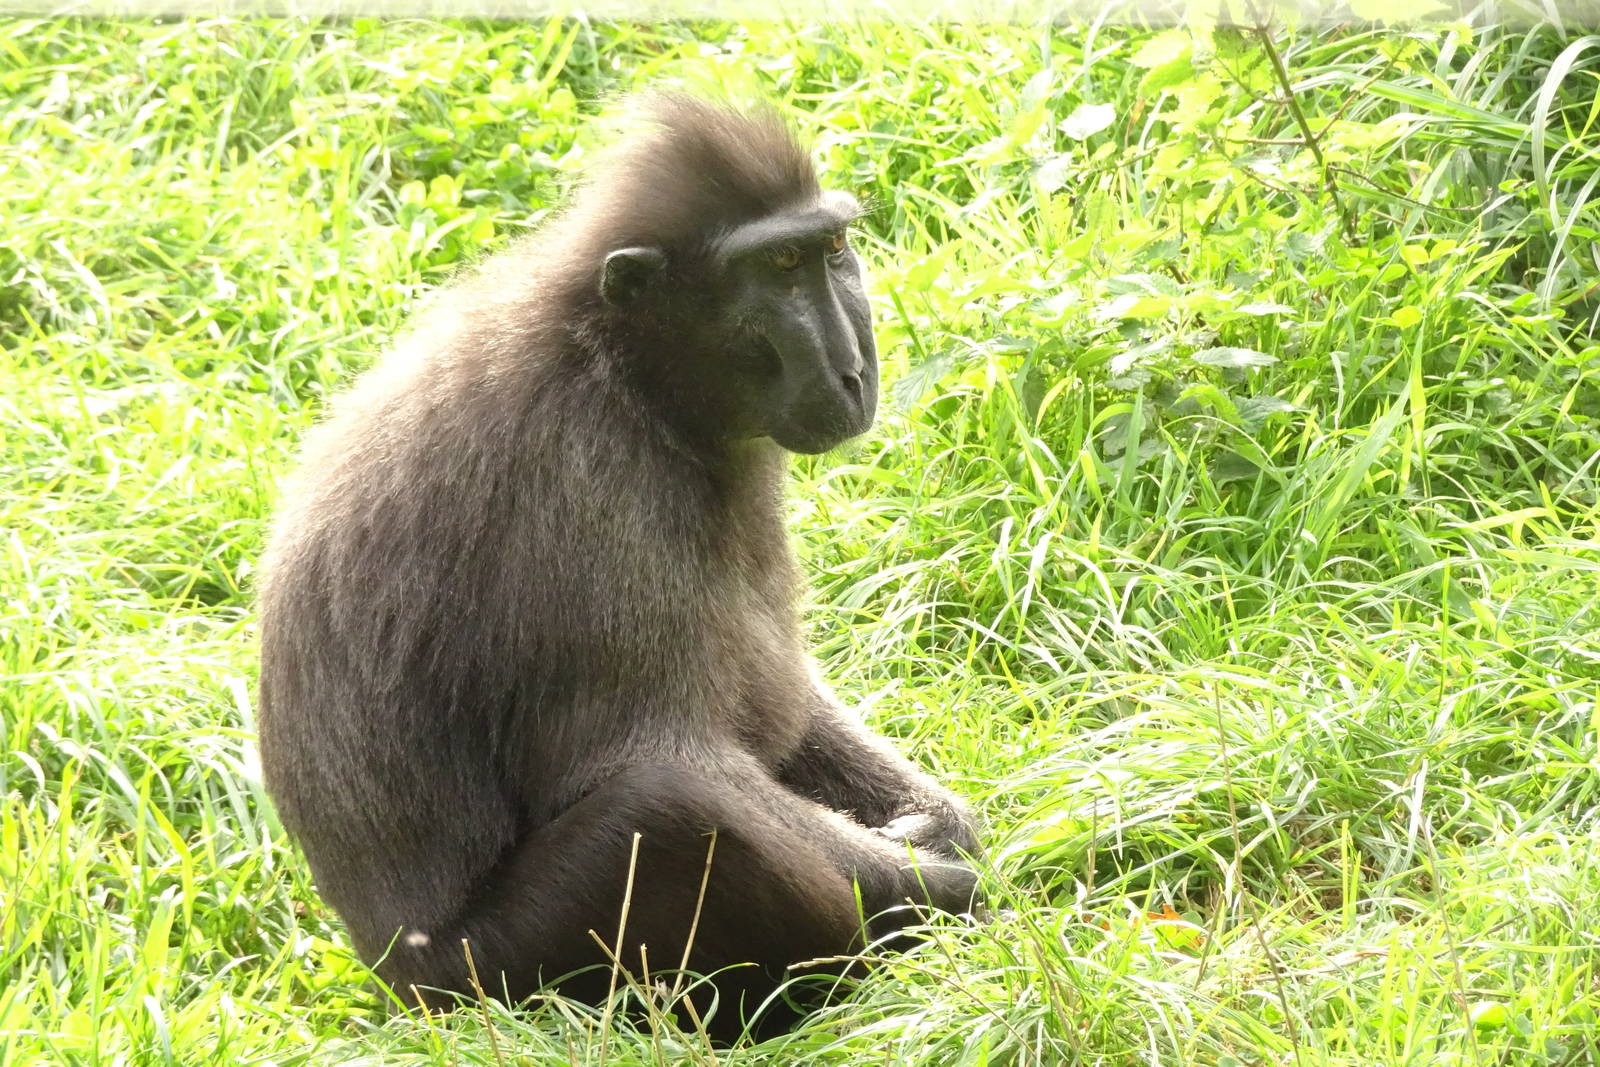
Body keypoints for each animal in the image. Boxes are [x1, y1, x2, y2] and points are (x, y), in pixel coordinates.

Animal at [255, 94, 981, 1040]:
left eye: (832, 253)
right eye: (781, 268)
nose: (855, 368)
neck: (624, 369)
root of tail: (397, 977)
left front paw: (949, 829)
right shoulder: (581, 484)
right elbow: (660, 755)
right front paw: (943, 882)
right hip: (495, 979)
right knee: (665, 807)